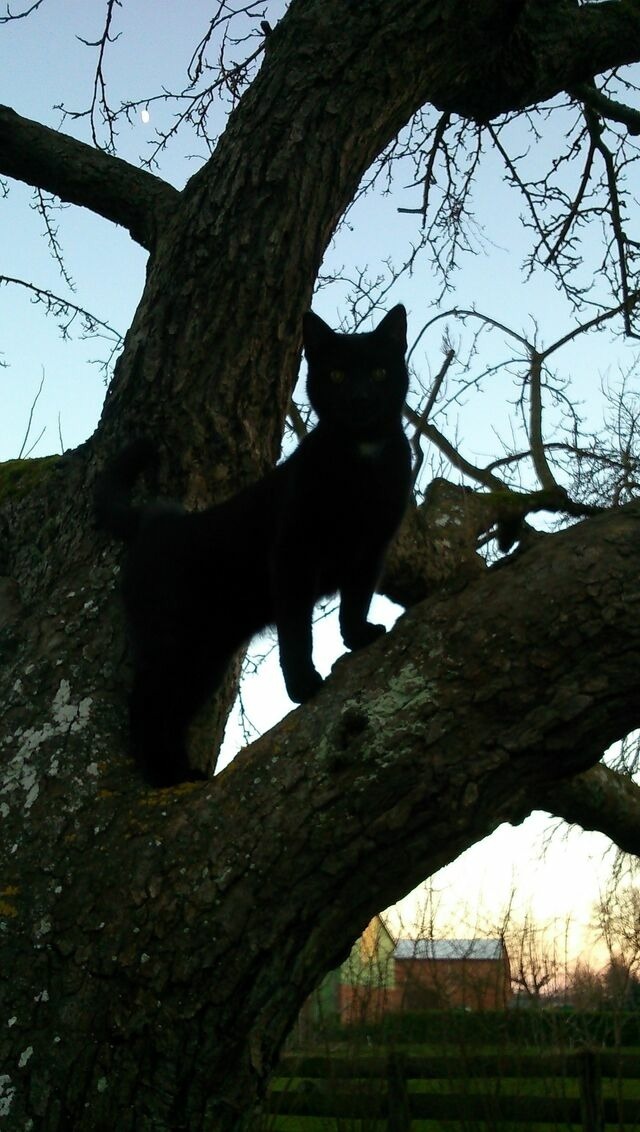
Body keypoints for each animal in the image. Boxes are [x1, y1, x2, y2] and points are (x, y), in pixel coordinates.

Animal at [96, 305, 410, 792]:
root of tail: (155, 522)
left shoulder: (372, 548)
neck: (365, 460)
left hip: (205, 655)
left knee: (170, 710)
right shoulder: (293, 553)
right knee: (146, 703)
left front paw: (359, 636)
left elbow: (355, 601)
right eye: (337, 374)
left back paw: (182, 774)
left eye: (379, 372)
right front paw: (303, 685)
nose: (359, 397)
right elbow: (297, 633)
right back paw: (163, 777)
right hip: (175, 639)